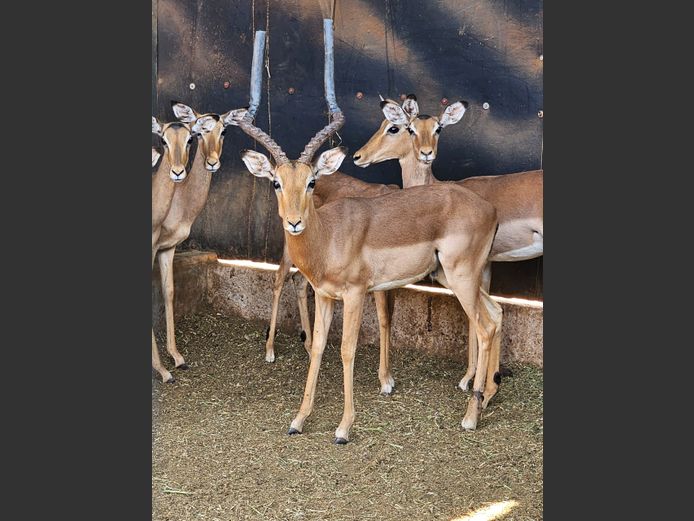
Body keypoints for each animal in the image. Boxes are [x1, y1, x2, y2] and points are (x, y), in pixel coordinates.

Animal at [151, 102, 238, 382]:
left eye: (224, 131)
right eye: (200, 134)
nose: (212, 162)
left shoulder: (168, 248)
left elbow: (169, 291)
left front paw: (177, 358)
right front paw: (163, 370)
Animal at [233, 20, 503, 443]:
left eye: (311, 181)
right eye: (276, 183)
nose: (294, 222)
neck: (328, 237)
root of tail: (489, 209)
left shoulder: (357, 294)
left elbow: (347, 349)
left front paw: (344, 427)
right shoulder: (325, 295)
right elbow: (319, 347)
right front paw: (299, 419)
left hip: (461, 276)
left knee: (487, 325)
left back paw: (471, 416)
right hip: (453, 276)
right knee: (495, 311)